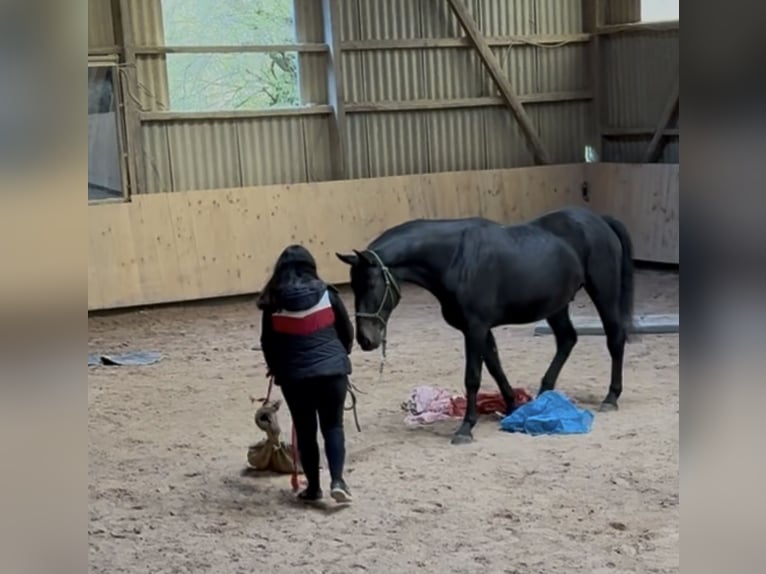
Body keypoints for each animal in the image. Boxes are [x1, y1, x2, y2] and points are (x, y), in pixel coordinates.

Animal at [336, 205, 636, 448]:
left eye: (371, 284)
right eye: (354, 286)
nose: (366, 339)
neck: (455, 257)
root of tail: (599, 220)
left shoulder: (475, 328)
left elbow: (473, 377)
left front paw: (466, 428)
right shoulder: (480, 329)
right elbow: (495, 367)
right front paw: (513, 407)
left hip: (603, 292)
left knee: (614, 338)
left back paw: (611, 397)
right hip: (556, 305)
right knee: (567, 339)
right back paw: (544, 395)